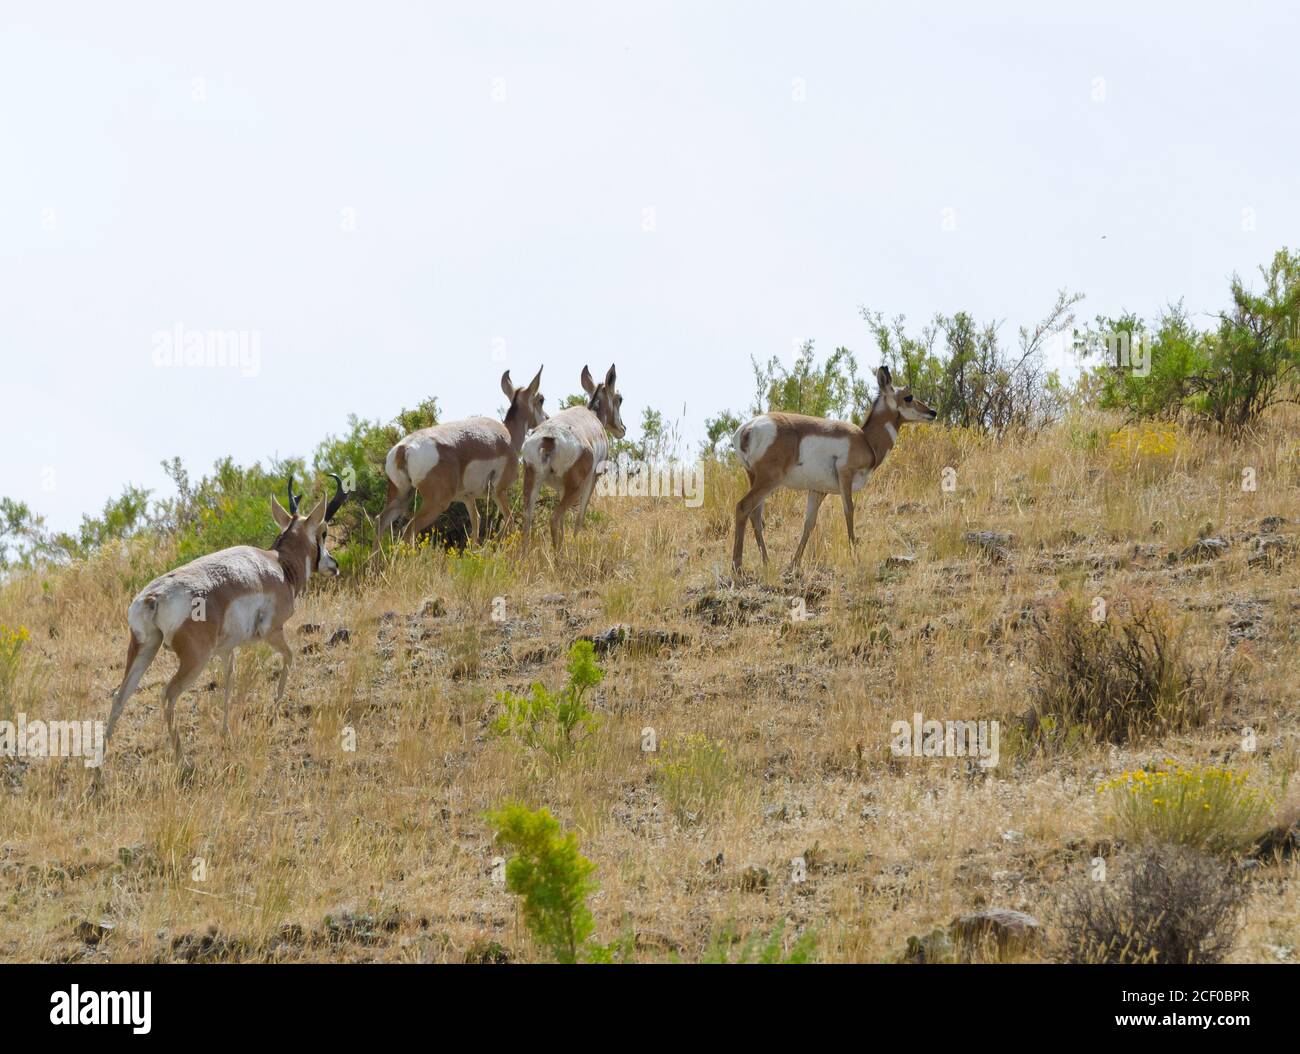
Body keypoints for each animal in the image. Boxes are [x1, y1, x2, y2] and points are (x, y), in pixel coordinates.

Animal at [107, 473, 348, 764]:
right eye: (323, 532)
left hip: (144, 649)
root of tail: (154, 597)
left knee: (120, 696)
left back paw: (98, 767)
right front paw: (274, 713)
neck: (279, 565)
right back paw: (183, 762)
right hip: (194, 660)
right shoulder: (273, 632)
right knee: (167, 695)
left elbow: (228, 681)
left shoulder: (227, 650)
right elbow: (290, 658)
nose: (334, 565)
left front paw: (226, 732)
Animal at [374, 369, 546, 553]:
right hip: (436, 503)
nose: (546, 418)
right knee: (409, 530)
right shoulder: (499, 492)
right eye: (541, 399)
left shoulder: (467, 498)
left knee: (380, 521)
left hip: (401, 497)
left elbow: (476, 521)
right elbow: (510, 522)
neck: (509, 436)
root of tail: (404, 448)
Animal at [520, 363, 626, 553]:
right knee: (555, 517)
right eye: (619, 398)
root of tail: (550, 437)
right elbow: (580, 518)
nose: (623, 428)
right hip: (574, 488)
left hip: (533, 481)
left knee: (528, 517)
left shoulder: (561, 488)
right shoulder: (592, 481)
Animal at [733, 366, 935, 571]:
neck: (866, 440)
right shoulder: (845, 476)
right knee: (743, 507)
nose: (932, 412)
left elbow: (809, 523)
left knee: (755, 515)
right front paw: (856, 558)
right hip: (768, 481)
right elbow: (849, 511)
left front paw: (794, 563)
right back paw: (738, 566)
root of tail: (746, 429)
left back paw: (767, 562)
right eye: (908, 396)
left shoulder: (818, 491)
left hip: (758, 480)